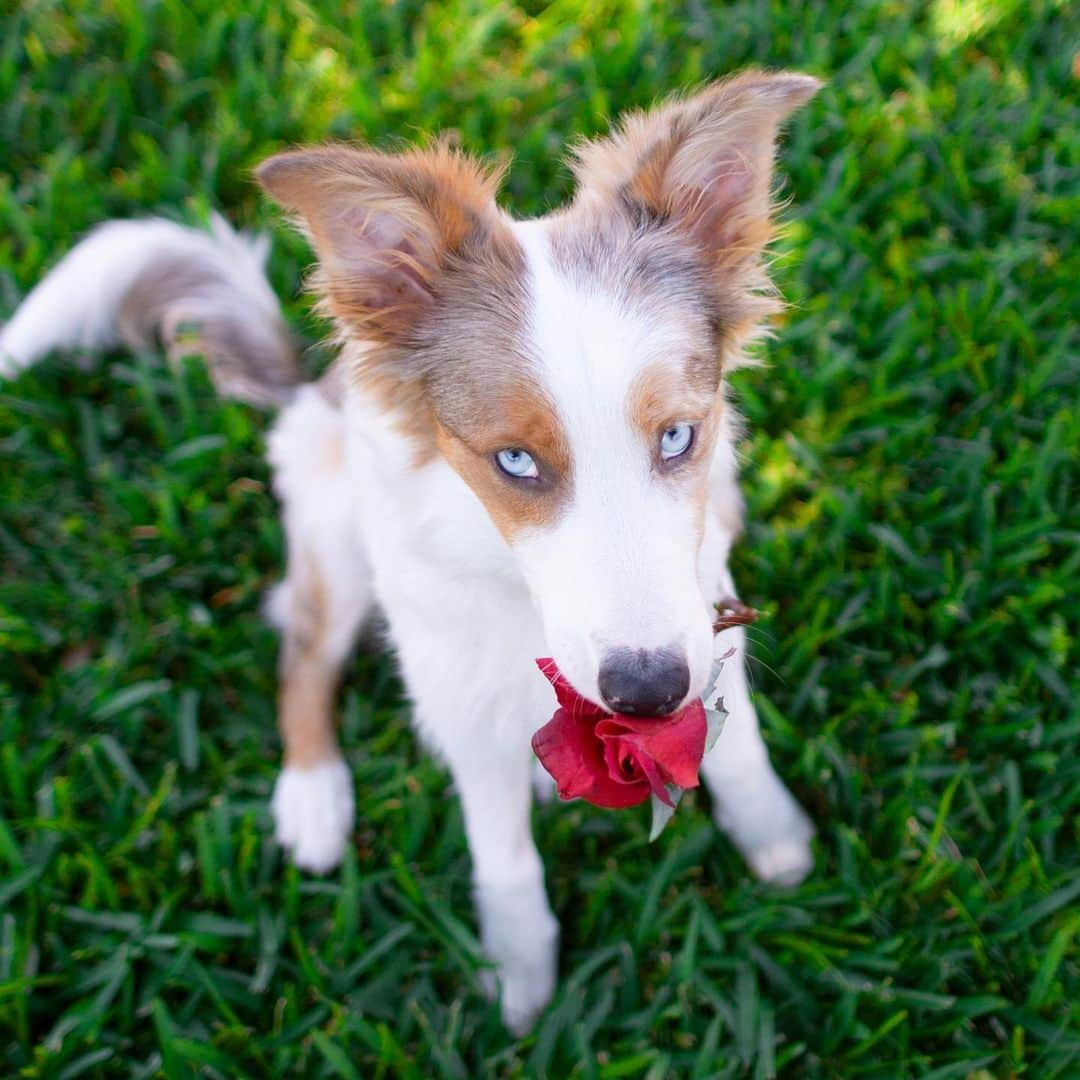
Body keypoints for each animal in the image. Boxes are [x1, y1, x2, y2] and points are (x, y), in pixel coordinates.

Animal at [2, 71, 816, 1032]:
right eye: (514, 460)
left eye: (679, 435)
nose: (647, 693)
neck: (515, 590)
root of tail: (311, 388)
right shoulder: (459, 686)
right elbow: (502, 853)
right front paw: (519, 975)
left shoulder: (702, 599)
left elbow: (740, 733)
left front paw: (774, 835)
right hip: (334, 530)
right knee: (303, 651)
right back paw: (314, 795)